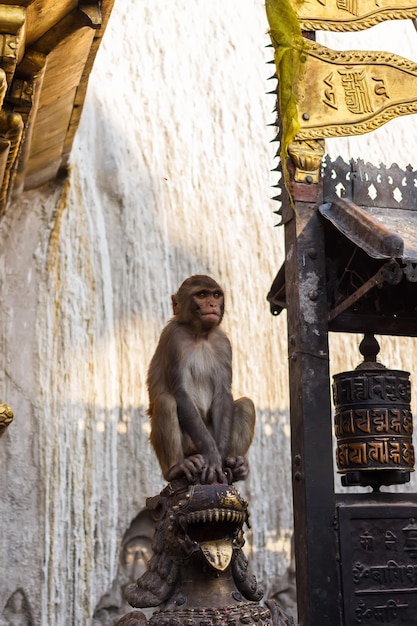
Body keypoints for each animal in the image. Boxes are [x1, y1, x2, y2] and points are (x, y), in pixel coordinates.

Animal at [148, 272, 255, 482]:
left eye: (216, 295)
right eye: (202, 294)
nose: (212, 305)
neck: (199, 335)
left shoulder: (223, 343)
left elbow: (223, 393)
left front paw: (220, 456)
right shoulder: (174, 339)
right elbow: (180, 393)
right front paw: (213, 456)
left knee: (246, 404)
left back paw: (237, 467)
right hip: (190, 445)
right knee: (165, 401)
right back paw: (176, 468)